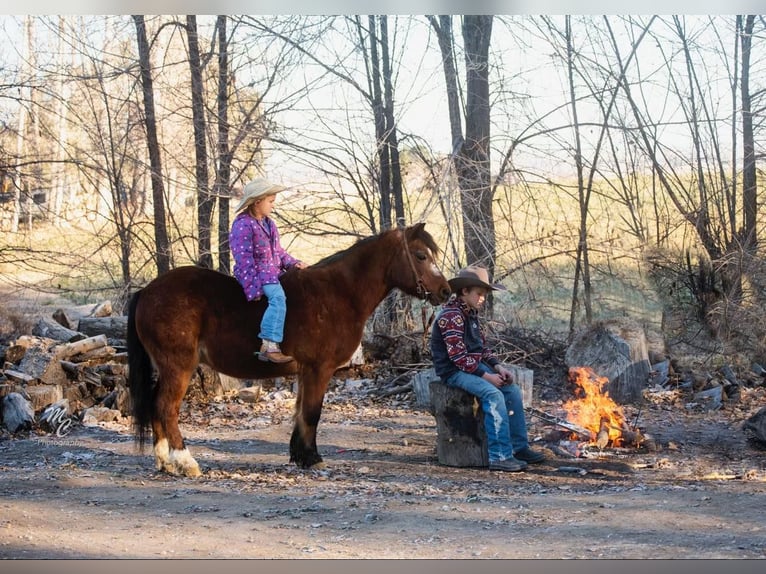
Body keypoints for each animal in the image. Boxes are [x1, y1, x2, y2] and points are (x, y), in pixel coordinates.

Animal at [125, 223, 450, 480]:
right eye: (421, 255)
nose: (446, 291)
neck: (339, 294)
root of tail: (147, 291)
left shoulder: (306, 372)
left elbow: (301, 413)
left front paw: (301, 456)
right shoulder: (320, 369)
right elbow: (312, 413)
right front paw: (313, 459)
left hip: (167, 367)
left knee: (156, 405)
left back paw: (165, 462)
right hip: (178, 366)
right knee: (167, 407)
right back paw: (186, 462)